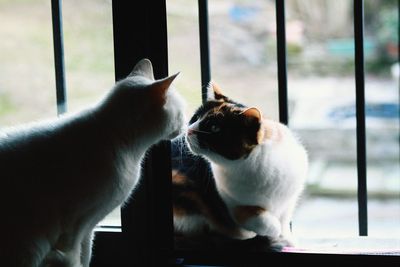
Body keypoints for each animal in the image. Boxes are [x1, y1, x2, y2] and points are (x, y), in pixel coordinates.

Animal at [0, 59, 186, 267]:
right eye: (181, 113)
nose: (186, 125)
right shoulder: (72, 230)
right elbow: (74, 260)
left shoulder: (88, 228)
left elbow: (86, 256)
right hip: (31, 247)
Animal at [171, 82, 306, 249]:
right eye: (195, 117)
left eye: (214, 128)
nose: (188, 130)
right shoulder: (236, 207)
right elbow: (269, 224)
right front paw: (275, 235)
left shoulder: (289, 201)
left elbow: (284, 222)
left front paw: (289, 240)